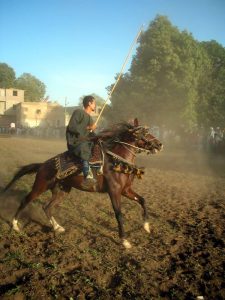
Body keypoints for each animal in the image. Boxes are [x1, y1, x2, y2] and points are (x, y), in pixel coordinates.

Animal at [3, 119, 162, 248]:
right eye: (144, 132)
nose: (159, 144)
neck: (117, 161)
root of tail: (42, 165)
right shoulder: (114, 191)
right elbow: (119, 215)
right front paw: (124, 241)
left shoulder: (126, 190)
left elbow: (142, 200)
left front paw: (146, 226)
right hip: (40, 186)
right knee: (25, 201)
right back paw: (15, 225)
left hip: (62, 190)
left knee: (47, 207)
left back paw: (57, 227)